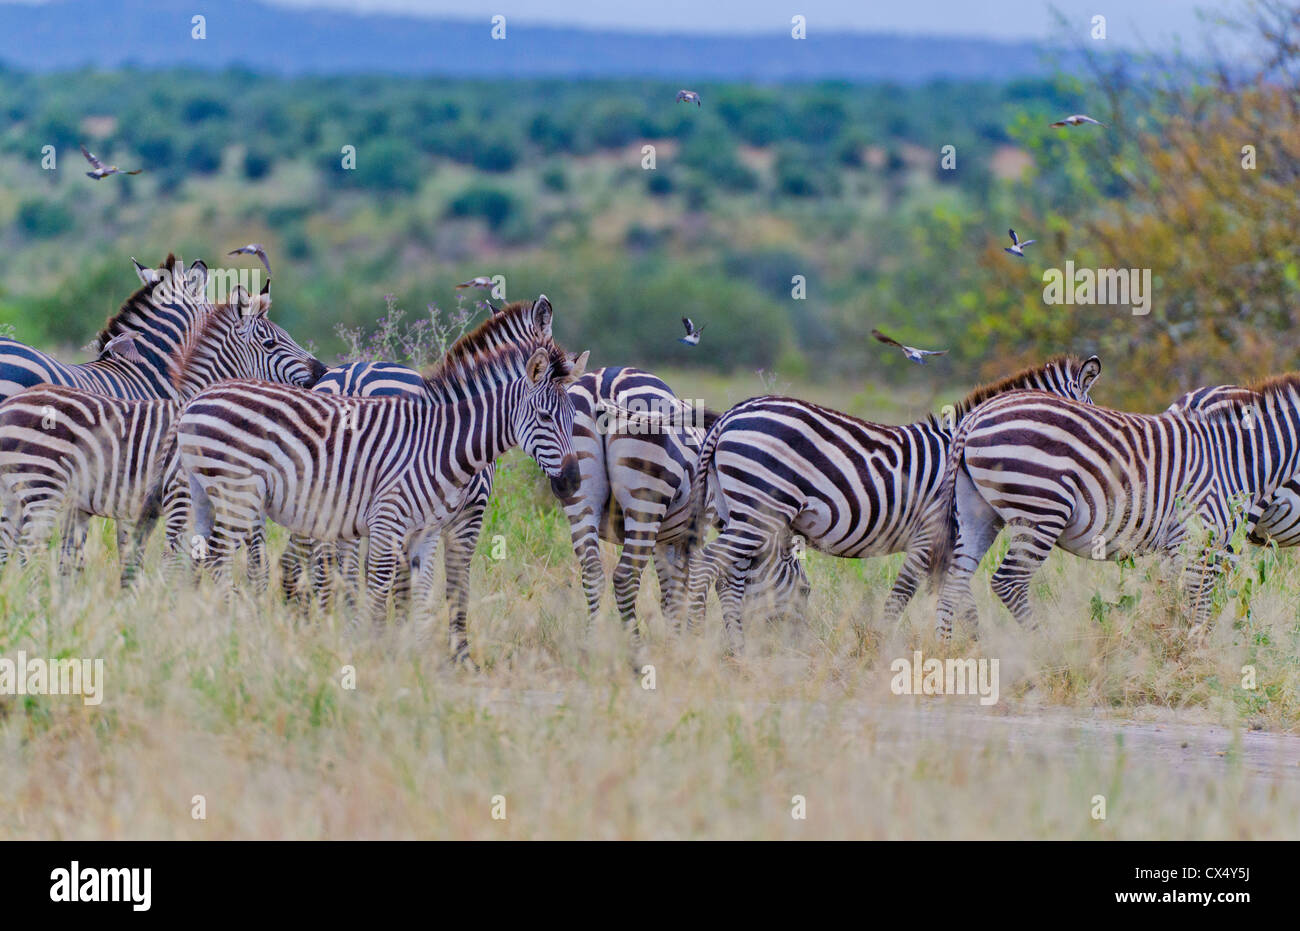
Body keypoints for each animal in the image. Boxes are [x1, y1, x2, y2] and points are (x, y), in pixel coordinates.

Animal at [135, 296, 579, 663]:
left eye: (575, 417)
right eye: (544, 418)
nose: (572, 482)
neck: (445, 437)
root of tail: (198, 400)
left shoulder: (423, 527)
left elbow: (417, 588)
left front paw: (415, 654)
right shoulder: (423, 518)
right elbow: (417, 585)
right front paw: (406, 651)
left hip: (213, 494)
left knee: (214, 558)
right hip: (239, 495)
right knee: (224, 559)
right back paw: (233, 629)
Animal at [553, 366, 806, 644]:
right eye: (805, 590)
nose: (798, 641)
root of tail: (605, 381)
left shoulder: (665, 539)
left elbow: (670, 596)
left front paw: (675, 641)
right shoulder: (699, 527)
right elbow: (699, 586)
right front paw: (692, 640)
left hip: (580, 494)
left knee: (592, 572)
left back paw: (591, 644)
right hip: (646, 495)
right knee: (625, 577)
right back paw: (635, 647)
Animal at [681, 353, 1097, 650]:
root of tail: (730, 415)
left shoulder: (944, 542)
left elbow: (957, 598)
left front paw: (971, 647)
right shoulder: (931, 536)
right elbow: (907, 595)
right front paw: (878, 644)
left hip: (739, 514)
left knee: (729, 576)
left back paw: (735, 648)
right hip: (757, 513)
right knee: (710, 567)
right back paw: (697, 639)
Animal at [925, 374, 1300, 637]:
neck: (1238, 455)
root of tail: (975, 416)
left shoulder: (1185, 544)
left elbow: (1174, 600)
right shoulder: (1201, 537)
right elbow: (1198, 606)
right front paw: (1193, 657)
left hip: (978, 512)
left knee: (955, 578)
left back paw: (947, 653)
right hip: (1042, 509)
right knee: (1009, 582)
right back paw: (1045, 647)